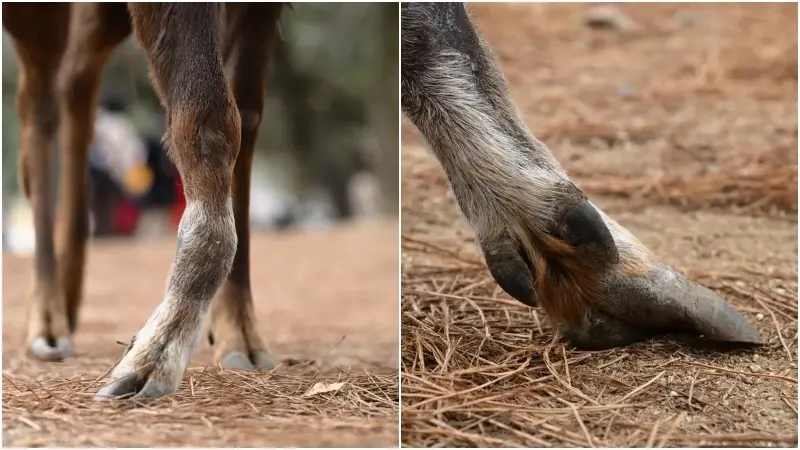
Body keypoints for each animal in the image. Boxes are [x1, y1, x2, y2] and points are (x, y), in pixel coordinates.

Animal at [4, 3, 285, 400]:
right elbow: (210, 117)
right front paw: (159, 349)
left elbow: (247, 114)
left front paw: (238, 332)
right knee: (38, 99)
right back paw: (47, 321)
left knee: (77, 72)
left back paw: (68, 294)